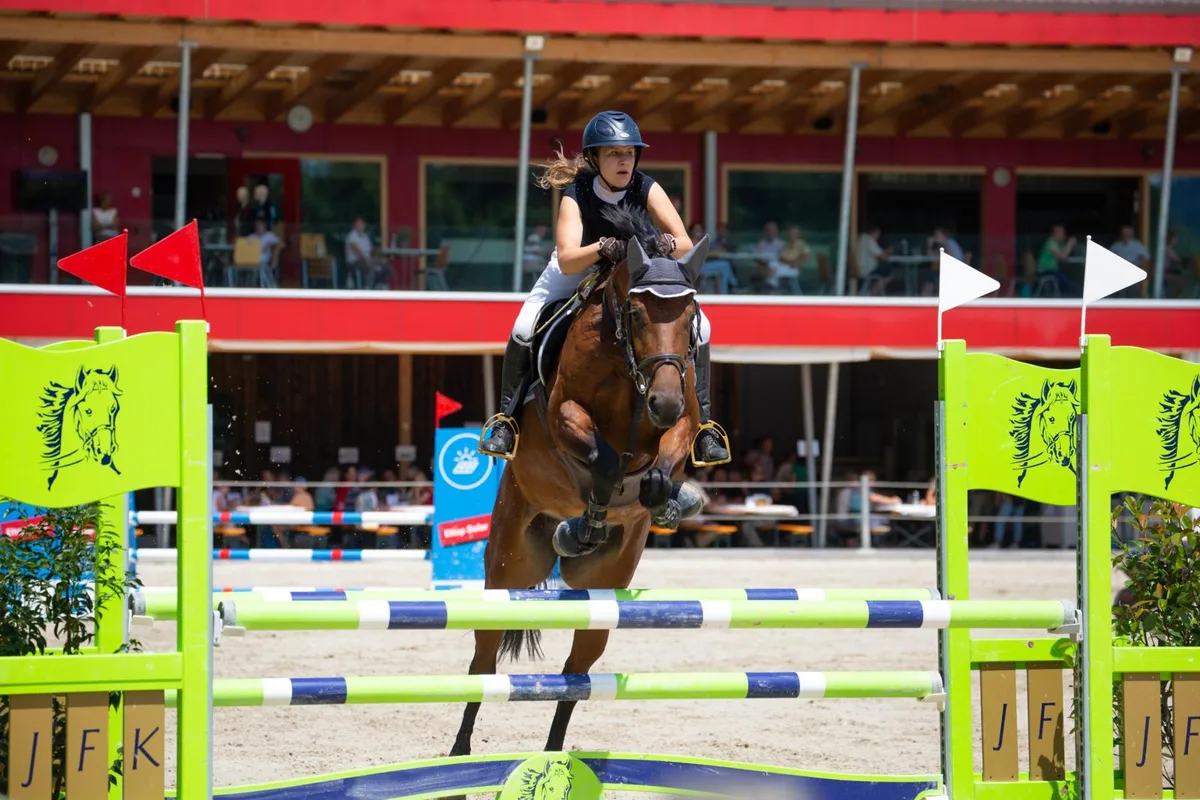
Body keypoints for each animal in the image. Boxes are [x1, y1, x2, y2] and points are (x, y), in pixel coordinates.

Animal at [449, 206, 709, 766]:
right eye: (636, 314)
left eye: (690, 317)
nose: (663, 403)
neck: (628, 368)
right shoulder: (564, 414)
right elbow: (604, 460)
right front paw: (586, 521)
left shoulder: (681, 421)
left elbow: (660, 470)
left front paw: (667, 501)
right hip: (508, 569)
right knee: (483, 665)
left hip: (603, 594)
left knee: (576, 676)